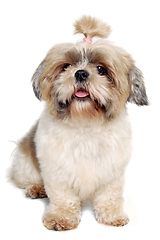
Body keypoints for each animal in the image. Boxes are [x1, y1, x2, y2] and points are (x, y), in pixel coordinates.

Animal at [10, 15, 148, 230]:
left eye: (101, 69)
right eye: (66, 66)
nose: (81, 73)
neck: (85, 125)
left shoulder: (112, 172)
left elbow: (110, 196)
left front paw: (112, 216)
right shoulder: (57, 170)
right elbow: (63, 197)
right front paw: (61, 217)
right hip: (25, 164)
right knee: (27, 179)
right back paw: (37, 188)